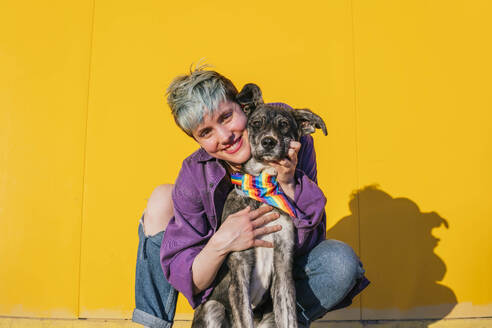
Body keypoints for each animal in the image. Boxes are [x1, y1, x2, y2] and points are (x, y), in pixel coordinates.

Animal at [191, 84, 326, 328]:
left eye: (284, 125)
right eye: (255, 123)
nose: (268, 142)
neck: (262, 193)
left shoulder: (283, 268)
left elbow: (289, 317)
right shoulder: (239, 269)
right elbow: (243, 317)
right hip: (212, 308)